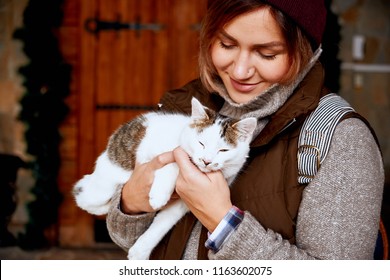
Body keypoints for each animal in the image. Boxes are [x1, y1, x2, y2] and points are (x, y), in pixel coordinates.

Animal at [72, 97, 256, 260]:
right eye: (201, 143)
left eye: (223, 150)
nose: (206, 161)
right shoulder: (152, 151)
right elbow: (173, 161)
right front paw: (159, 196)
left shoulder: (182, 204)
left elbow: (162, 224)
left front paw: (140, 251)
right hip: (103, 184)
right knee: (83, 193)